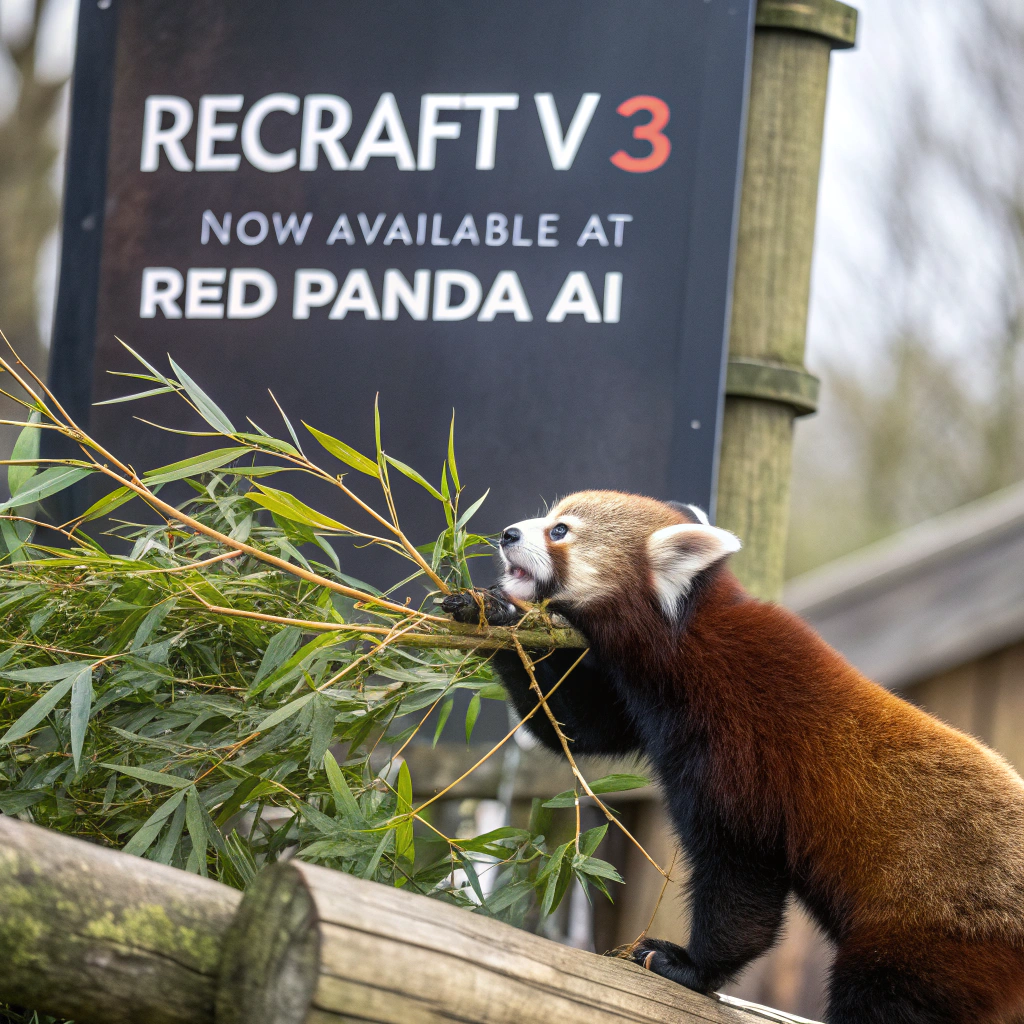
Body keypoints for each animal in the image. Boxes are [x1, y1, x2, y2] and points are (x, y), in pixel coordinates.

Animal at [442, 490, 1024, 1024]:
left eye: (559, 531)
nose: (508, 534)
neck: (685, 638)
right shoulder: (641, 700)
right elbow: (576, 725)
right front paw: (487, 610)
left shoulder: (737, 736)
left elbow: (739, 867)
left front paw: (691, 967)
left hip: (937, 933)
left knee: (886, 997)